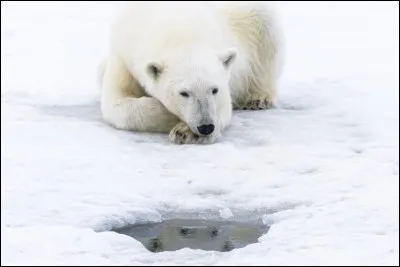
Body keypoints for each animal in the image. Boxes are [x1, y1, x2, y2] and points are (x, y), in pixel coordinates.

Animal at [98, 1, 282, 146]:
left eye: (214, 90)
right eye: (184, 93)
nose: (206, 127)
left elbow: (224, 108)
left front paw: (185, 132)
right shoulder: (123, 55)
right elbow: (118, 104)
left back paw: (257, 98)